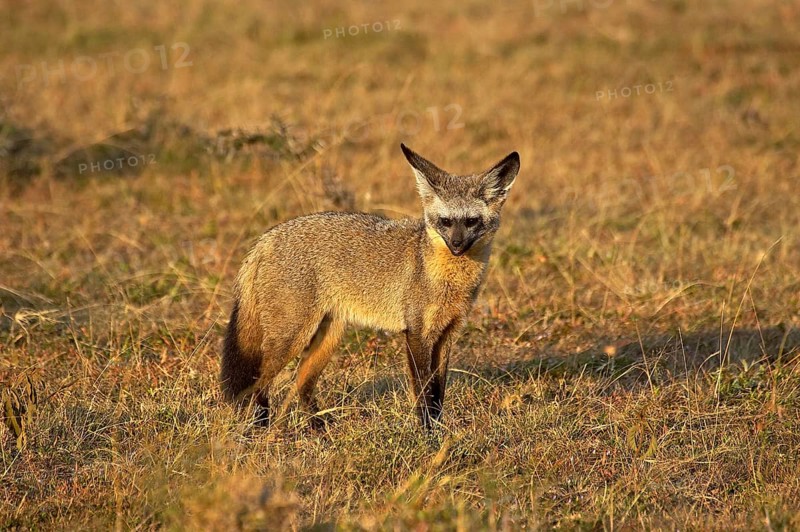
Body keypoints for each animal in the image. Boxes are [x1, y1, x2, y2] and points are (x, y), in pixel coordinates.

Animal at [221, 143, 520, 429]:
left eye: (471, 222)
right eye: (445, 222)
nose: (456, 245)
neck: (447, 278)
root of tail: (267, 237)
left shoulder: (447, 334)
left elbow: (438, 393)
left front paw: (439, 428)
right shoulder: (416, 333)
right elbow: (424, 393)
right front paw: (428, 434)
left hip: (327, 338)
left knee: (301, 384)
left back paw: (319, 429)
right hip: (290, 339)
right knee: (259, 385)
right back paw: (261, 428)